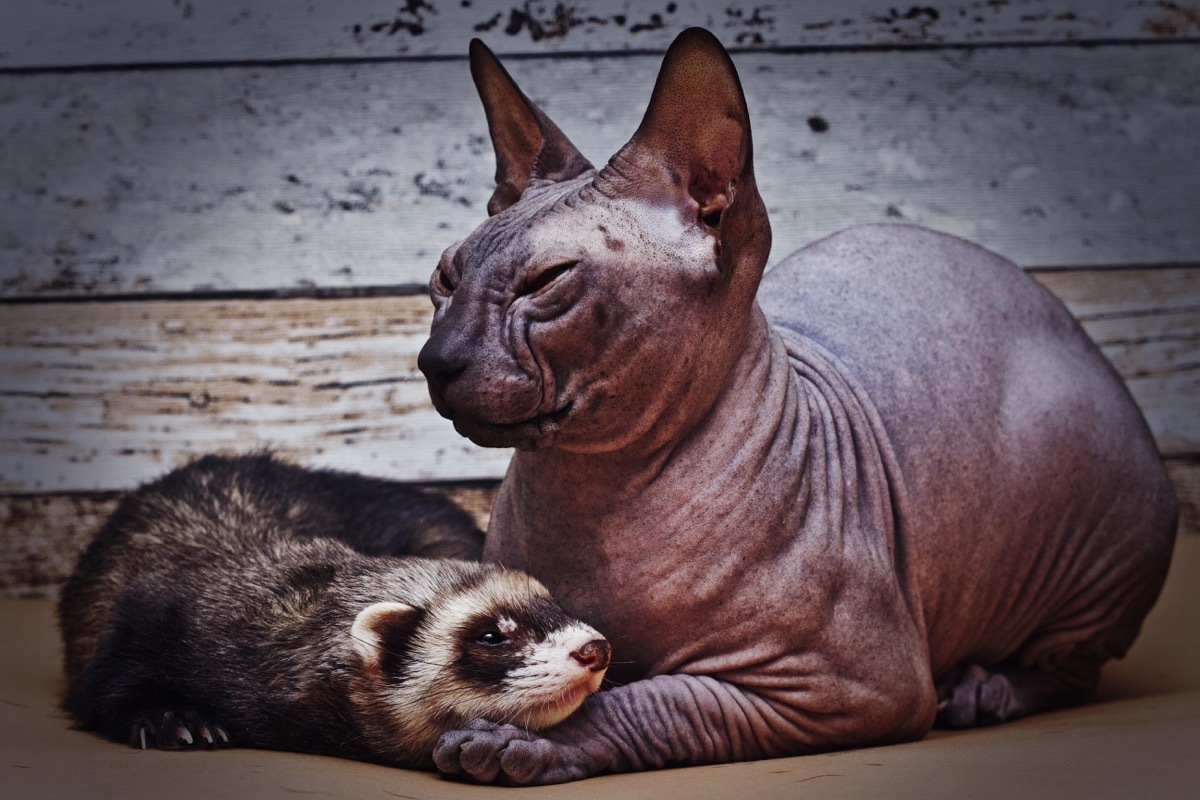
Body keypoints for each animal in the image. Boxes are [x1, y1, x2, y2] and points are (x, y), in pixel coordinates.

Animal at [417, 28, 1176, 786]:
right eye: (446, 277)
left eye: (547, 281)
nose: (435, 360)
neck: (592, 495)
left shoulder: (849, 685)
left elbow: (650, 702)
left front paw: (525, 738)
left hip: (1094, 545)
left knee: (1073, 669)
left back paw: (988, 687)